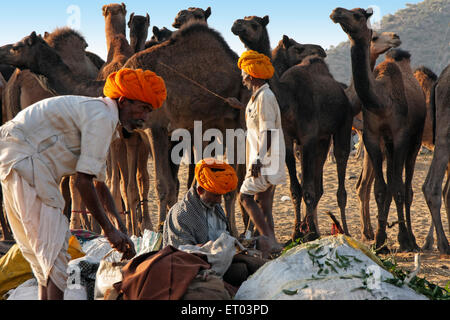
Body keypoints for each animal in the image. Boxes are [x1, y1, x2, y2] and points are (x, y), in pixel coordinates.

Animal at [123, 23, 248, 235]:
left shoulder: (156, 128)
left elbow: (163, 185)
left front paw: (160, 230)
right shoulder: (150, 132)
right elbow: (167, 184)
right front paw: (160, 228)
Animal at [232, 15, 356, 240]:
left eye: (254, 23)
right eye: (245, 20)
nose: (236, 24)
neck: (288, 100)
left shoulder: (307, 138)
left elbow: (307, 189)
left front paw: (308, 233)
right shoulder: (289, 139)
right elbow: (296, 190)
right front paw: (297, 232)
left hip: (344, 126)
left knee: (340, 173)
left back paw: (345, 230)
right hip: (323, 140)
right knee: (319, 184)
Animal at [330, 6, 426, 252]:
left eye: (359, 15)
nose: (336, 11)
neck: (381, 102)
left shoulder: (400, 137)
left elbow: (397, 188)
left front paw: (403, 239)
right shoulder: (373, 137)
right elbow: (381, 190)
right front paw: (380, 240)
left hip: (415, 141)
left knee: (407, 188)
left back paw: (412, 238)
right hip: (387, 146)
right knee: (385, 184)